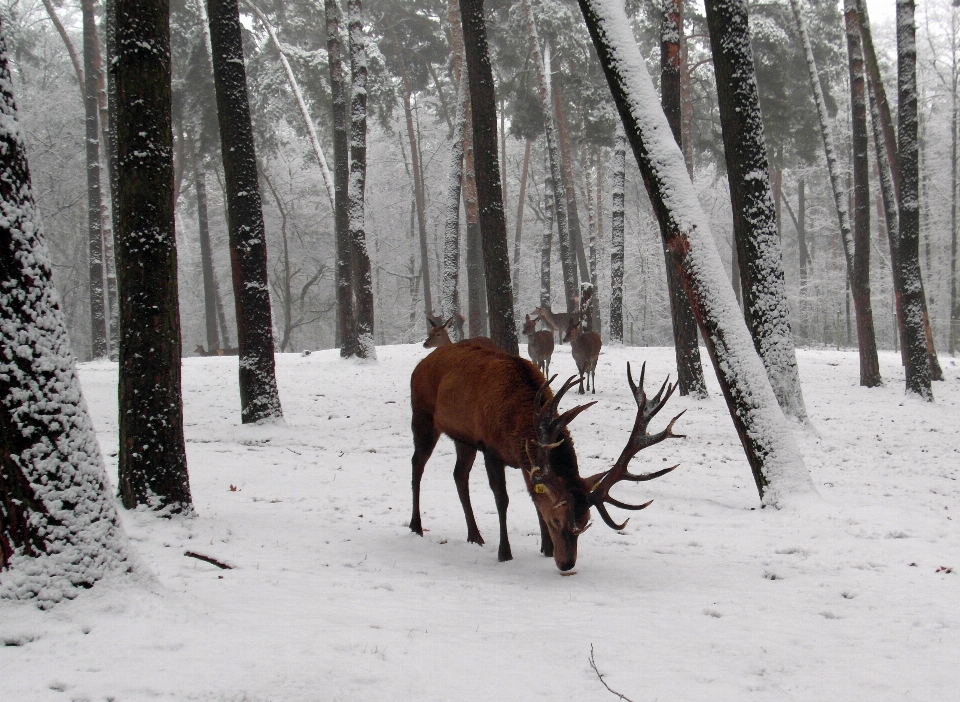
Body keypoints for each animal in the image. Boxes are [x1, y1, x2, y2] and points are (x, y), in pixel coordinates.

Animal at [406, 336, 684, 572]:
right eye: (557, 521)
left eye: (585, 521)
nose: (567, 564)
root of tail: (422, 363)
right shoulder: (489, 447)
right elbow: (502, 499)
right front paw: (505, 552)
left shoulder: (522, 461)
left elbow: (535, 498)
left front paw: (546, 549)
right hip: (422, 414)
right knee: (417, 464)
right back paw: (416, 525)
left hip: (463, 439)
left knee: (459, 475)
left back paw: (474, 535)